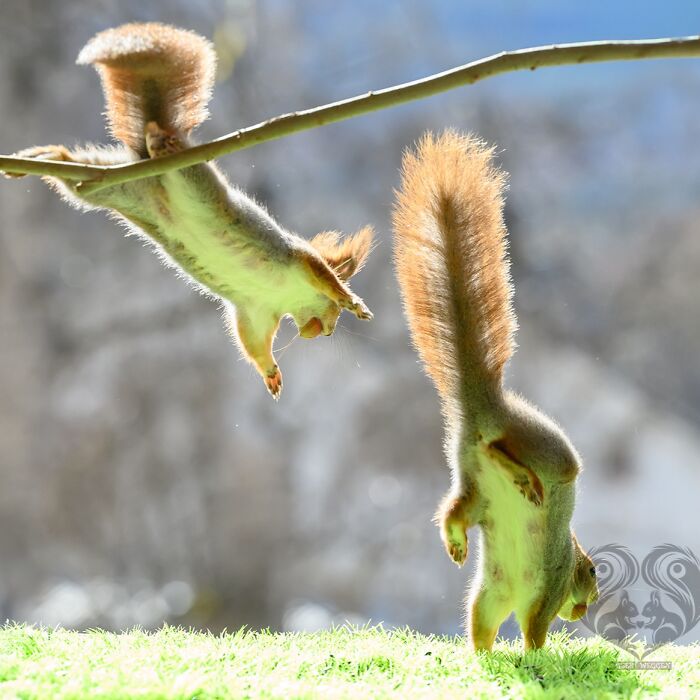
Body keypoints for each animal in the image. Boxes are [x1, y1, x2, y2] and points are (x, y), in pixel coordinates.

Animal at [3, 23, 373, 399]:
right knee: (168, 156)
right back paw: (159, 142)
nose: (327, 332)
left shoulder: (255, 312)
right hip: (190, 176)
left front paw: (269, 372)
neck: (285, 296)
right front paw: (352, 301)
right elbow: (321, 274)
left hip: (115, 185)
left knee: (79, 176)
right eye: (334, 315)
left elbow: (252, 343)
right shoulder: (296, 260)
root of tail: (152, 171)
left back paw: (46, 158)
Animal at [392, 130, 598, 651]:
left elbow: (482, 624)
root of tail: (485, 407)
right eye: (592, 574)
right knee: (513, 453)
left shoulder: (491, 595)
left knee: (453, 508)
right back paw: (522, 478)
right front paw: (537, 656)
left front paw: (483, 656)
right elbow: (535, 629)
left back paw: (456, 543)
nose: (582, 611)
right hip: (549, 451)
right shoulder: (545, 594)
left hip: (470, 482)